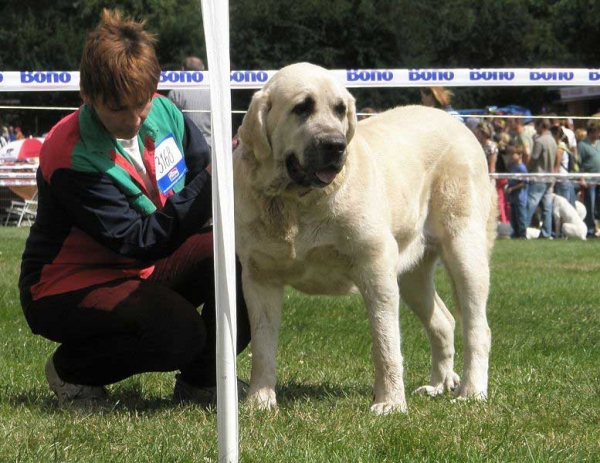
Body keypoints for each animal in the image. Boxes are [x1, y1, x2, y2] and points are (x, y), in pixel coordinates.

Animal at [233, 62, 496, 416]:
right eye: (302, 108)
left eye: (340, 110)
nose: (335, 145)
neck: (297, 203)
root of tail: (458, 125)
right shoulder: (260, 277)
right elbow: (263, 346)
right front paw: (259, 401)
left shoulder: (375, 266)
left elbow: (386, 343)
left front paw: (391, 403)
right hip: (411, 274)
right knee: (443, 321)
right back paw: (439, 385)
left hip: (464, 249)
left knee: (477, 327)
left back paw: (472, 391)